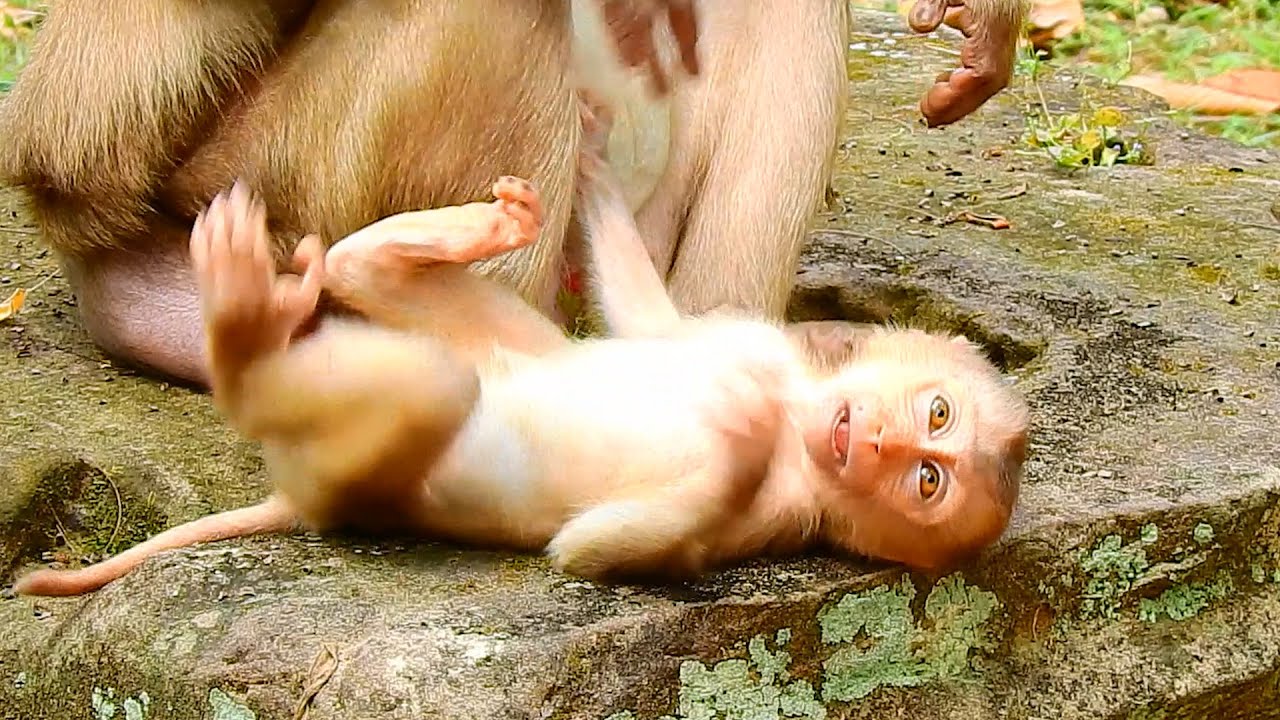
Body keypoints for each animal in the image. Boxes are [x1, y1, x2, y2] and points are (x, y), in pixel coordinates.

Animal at [11, 110, 1030, 597]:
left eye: (927, 482)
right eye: (937, 416)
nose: (880, 444)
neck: (803, 412)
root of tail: (294, 501)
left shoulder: (787, 514)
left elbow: (598, 549)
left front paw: (739, 437)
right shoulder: (755, 341)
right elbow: (653, 321)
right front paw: (595, 165)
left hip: (359, 479)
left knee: (429, 388)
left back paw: (245, 338)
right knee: (377, 286)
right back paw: (416, 247)